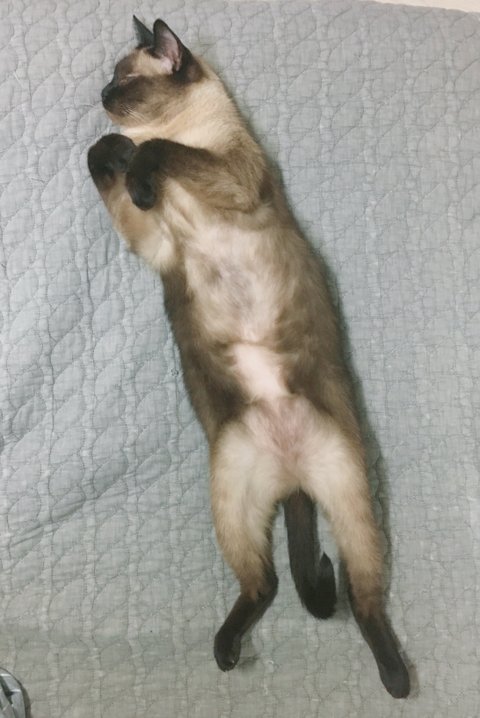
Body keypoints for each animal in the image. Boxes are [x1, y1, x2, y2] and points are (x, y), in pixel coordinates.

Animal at [87, 17, 410, 698]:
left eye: (123, 82)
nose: (101, 96)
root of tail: (291, 480)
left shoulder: (229, 174)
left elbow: (159, 153)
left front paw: (134, 155)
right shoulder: (151, 239)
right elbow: (105, 160)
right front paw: (115, 151)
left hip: (351, 501)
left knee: (360, 597)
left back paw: (397, 680)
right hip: (232, 502)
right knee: (264, 584)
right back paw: (226, 651)